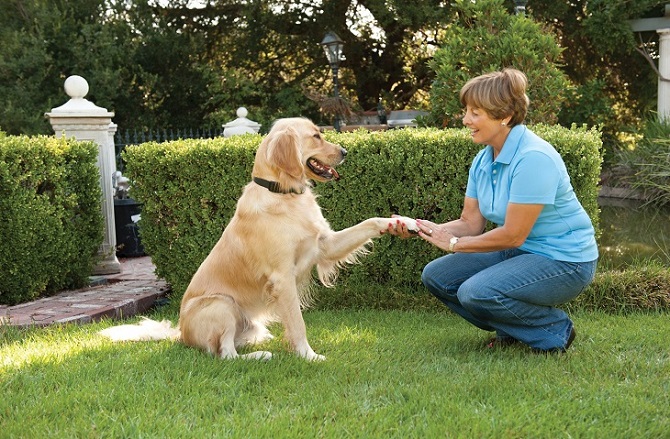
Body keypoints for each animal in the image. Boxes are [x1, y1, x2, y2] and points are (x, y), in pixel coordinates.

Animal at [101, 117, 414, 360]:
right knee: (224, 354)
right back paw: (261, 356)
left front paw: (403, 222)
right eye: (316, 136)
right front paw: (308, 356)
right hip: (222, 304)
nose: (346, 151)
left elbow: (369, 222)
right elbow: (298, 322)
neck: (285, 194)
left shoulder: (323, 245)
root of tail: (180, 334)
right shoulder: (283, 277)